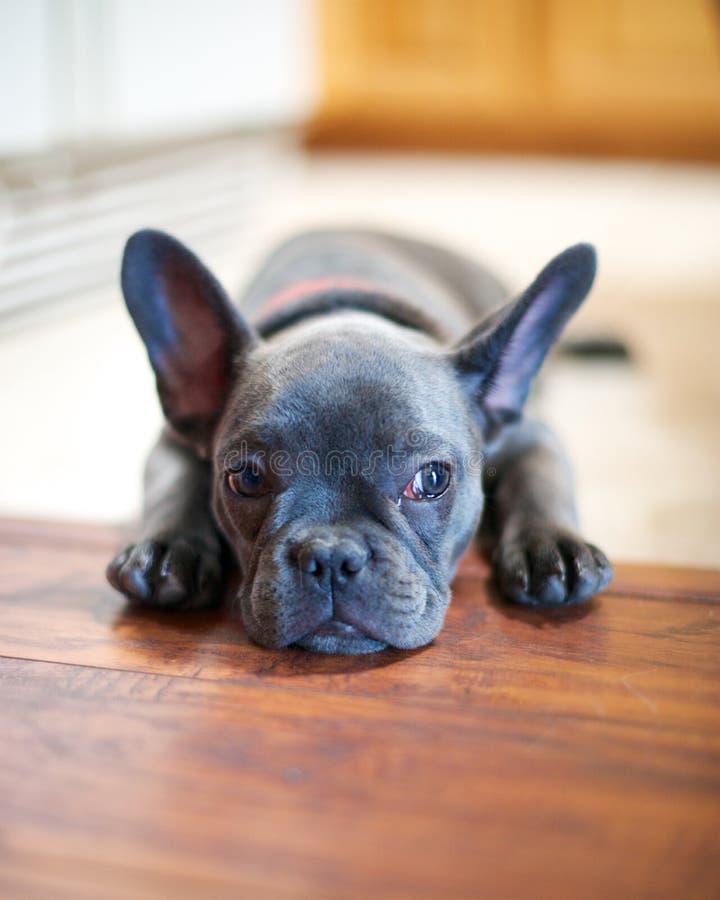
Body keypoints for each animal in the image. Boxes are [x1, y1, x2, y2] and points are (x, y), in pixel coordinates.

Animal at [107, 229, 612, 652]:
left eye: (431, 480)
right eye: (246, 479)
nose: (331, 556)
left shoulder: (527, 435)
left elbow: (542, 479)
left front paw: (552, 547)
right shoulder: (175, 440)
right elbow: (172, 486)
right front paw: (167, 550)